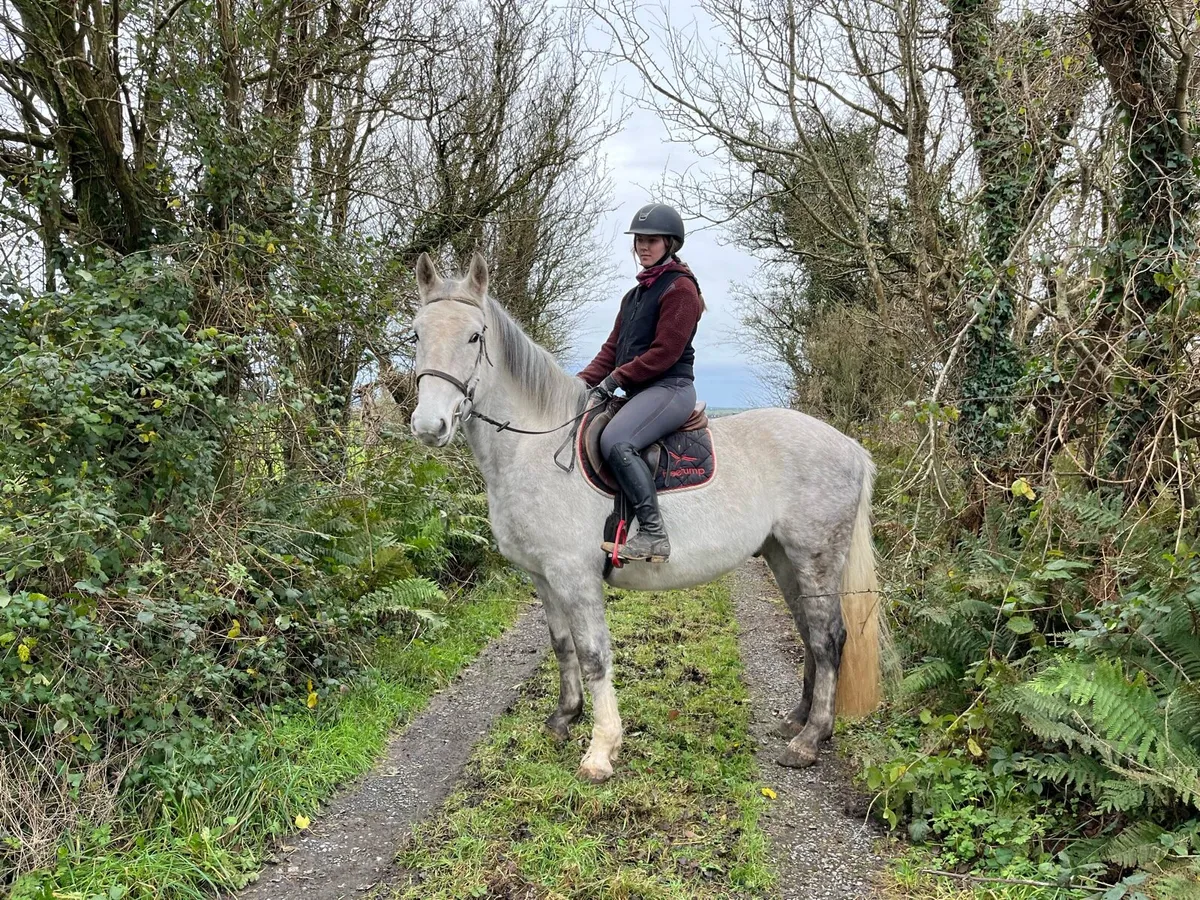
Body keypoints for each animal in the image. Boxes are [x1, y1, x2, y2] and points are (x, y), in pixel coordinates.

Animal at [408, 251, 884, 784]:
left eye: (475, 337)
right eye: (416, 334)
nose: (429, 426)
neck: (533, 446)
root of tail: (850, 448)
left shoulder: (575, 576)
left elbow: (594, 655)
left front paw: (600, 751)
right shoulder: (543, 576)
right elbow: (561, 644)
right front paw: (563, 719)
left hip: (815, 557)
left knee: (828, 638)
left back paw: (809, 740)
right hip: (783, 557)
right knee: (807, 631)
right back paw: (798, 721)